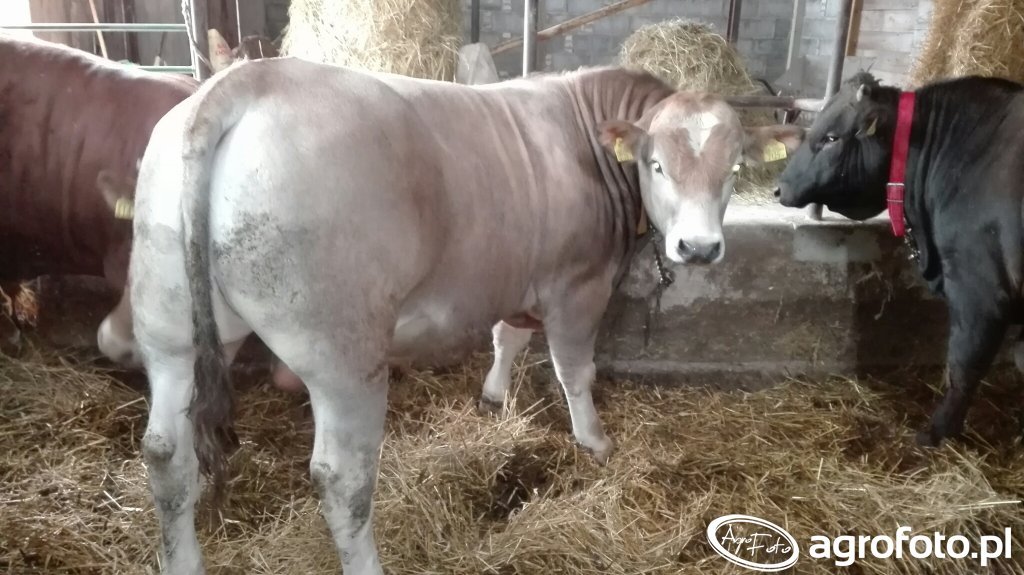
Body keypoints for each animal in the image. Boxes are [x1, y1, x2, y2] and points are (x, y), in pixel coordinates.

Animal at [122, 56, 801, 574]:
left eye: (733, 169)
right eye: (657, 164)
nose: (699, 248)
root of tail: (242, 81)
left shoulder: (514, 276)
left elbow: (507, 339)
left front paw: (494, 398)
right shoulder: (577, 285)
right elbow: (574, 370)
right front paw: (594, 442)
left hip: (168, 326)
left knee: (166, 454)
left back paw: (180, 561)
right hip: (344, 355)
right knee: (342, 477)